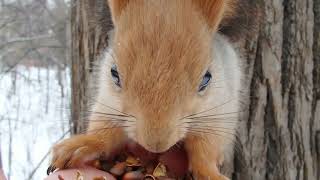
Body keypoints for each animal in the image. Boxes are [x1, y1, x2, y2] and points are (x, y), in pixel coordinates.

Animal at [50, 0, 255, 179]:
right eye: (114, 73)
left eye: (206, 79)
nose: (156, 145)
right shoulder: (107, 104)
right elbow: (104, 132)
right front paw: (83, 145)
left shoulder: (218, 114)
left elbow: (205, 149)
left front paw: (209, 173)